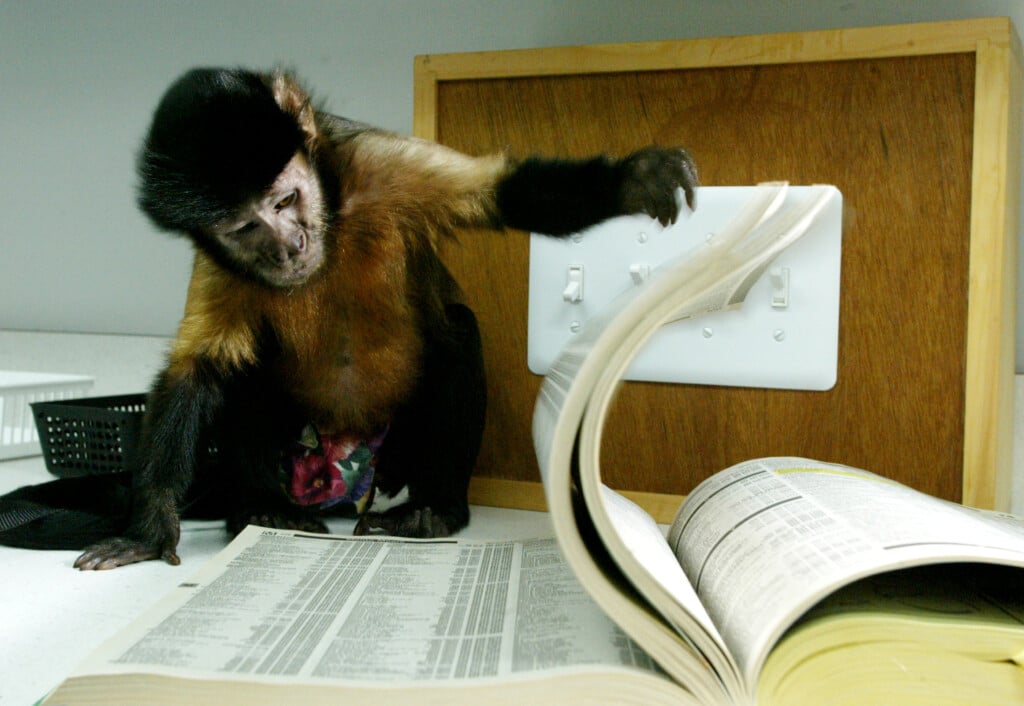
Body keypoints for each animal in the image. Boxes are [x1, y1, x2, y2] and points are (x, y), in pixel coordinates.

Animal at [0, 67, 696, 570]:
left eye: (286, 199)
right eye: (246, 227)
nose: (288, 246)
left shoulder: (379, 162)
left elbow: (500, 193)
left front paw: (632, 181)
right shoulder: (216, 255)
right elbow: (198, 369)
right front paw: (150, 528)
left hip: (395, 452)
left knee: (457, 331)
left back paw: (432, 510)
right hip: (301, 451)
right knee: (243, 367)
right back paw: (262, 510)